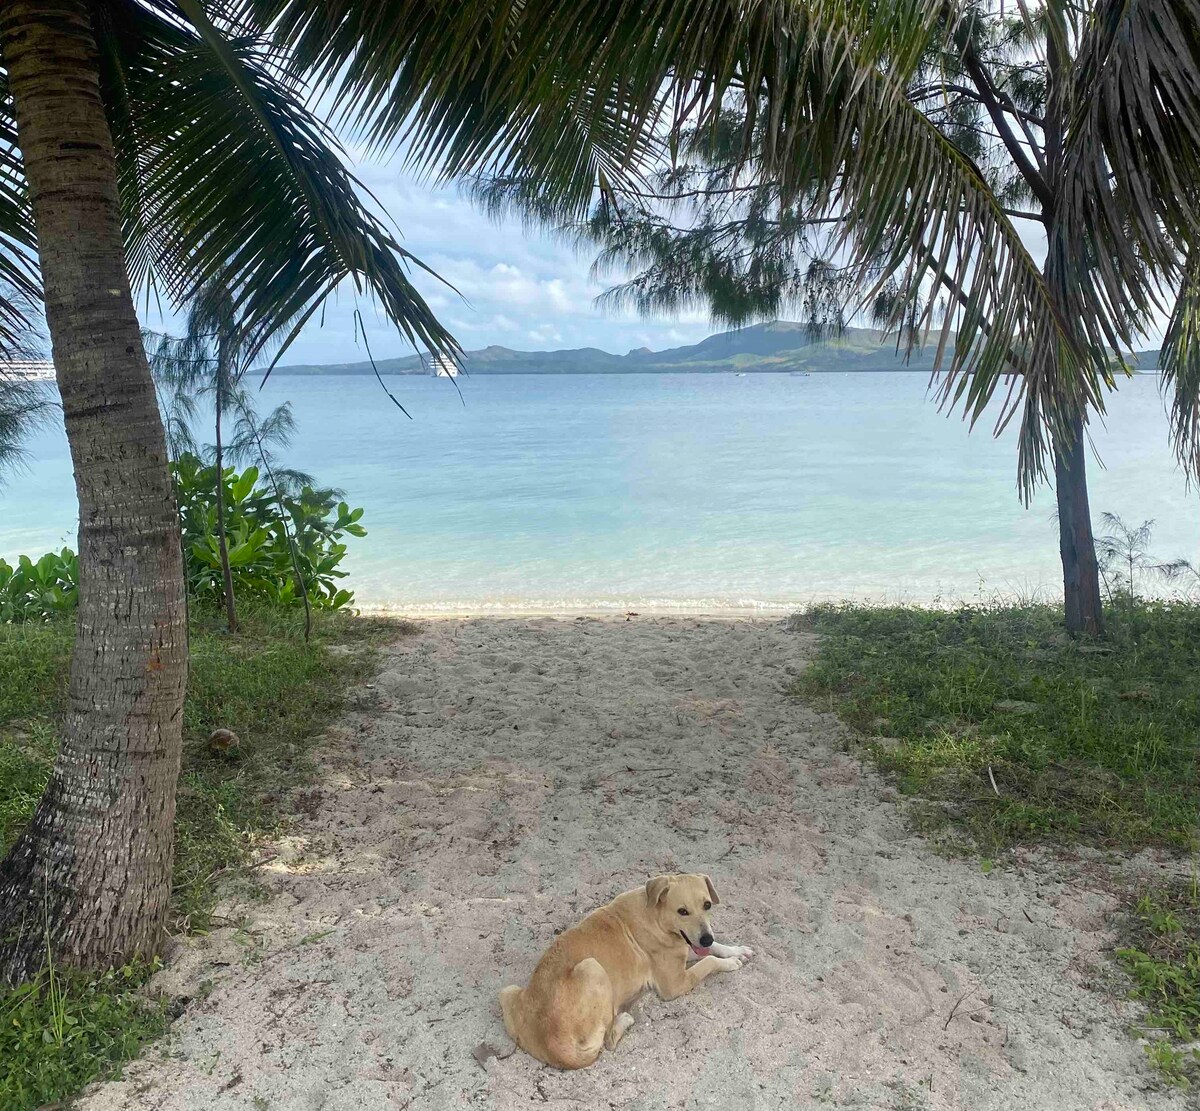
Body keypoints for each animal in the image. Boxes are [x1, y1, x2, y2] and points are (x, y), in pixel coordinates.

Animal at [501, 878, 753, 1070]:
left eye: (707, 904)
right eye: (682, 911)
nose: (706, 937)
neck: (655, 914)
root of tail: (554, 1047)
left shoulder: (687, 947)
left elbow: (713, 949)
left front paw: (737, 950)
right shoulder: (674, 984)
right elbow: (708, 960)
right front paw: (730, 962)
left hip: (507, 991)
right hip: (592, 968)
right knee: (608, 1040)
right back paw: (626, 1017)